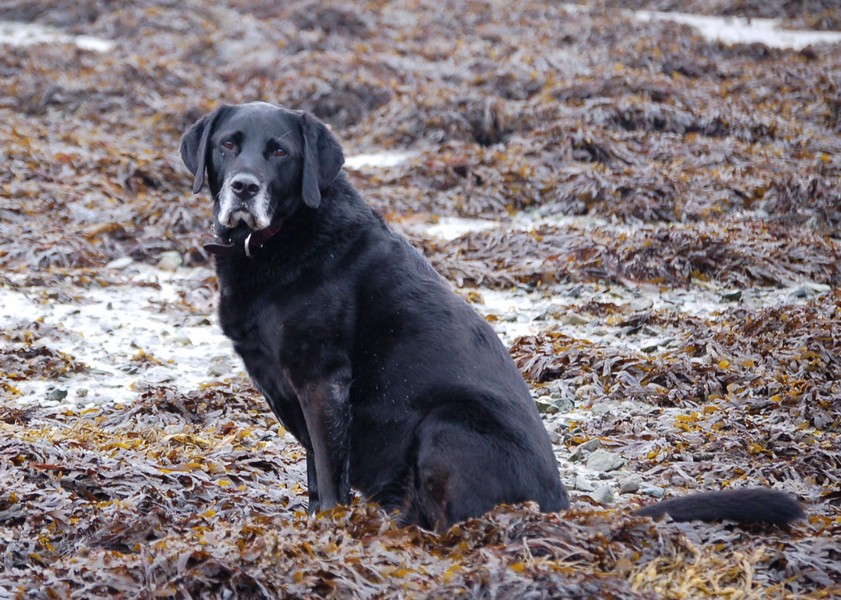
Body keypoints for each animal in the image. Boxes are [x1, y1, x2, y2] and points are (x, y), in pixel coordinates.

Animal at [182, 103, 800, 528]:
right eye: (229, 145)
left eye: (280, 152)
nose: (243, 186)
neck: (272, 244)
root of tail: (559, 508)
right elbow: (315, 469)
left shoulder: (321, 381)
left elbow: (330, 474)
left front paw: (326, 531)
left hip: (446, 423)